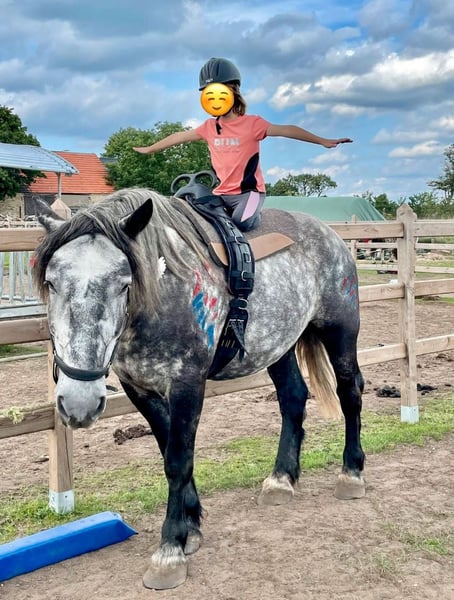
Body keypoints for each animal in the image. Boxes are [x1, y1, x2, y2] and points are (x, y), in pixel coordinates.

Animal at [33, 188, 365, 590]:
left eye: (124, 283)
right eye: (51, 283)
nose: (78, 403)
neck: (163, 293)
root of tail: (331, 236)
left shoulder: (187, 384)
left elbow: (178, 460)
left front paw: (170, 548)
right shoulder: (139, 389)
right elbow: (168, 451)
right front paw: (190, 526)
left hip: (341, 332)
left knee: (350, 393)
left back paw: (352, 473)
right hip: (280, 345)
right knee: (292, 399)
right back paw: (281, 479)